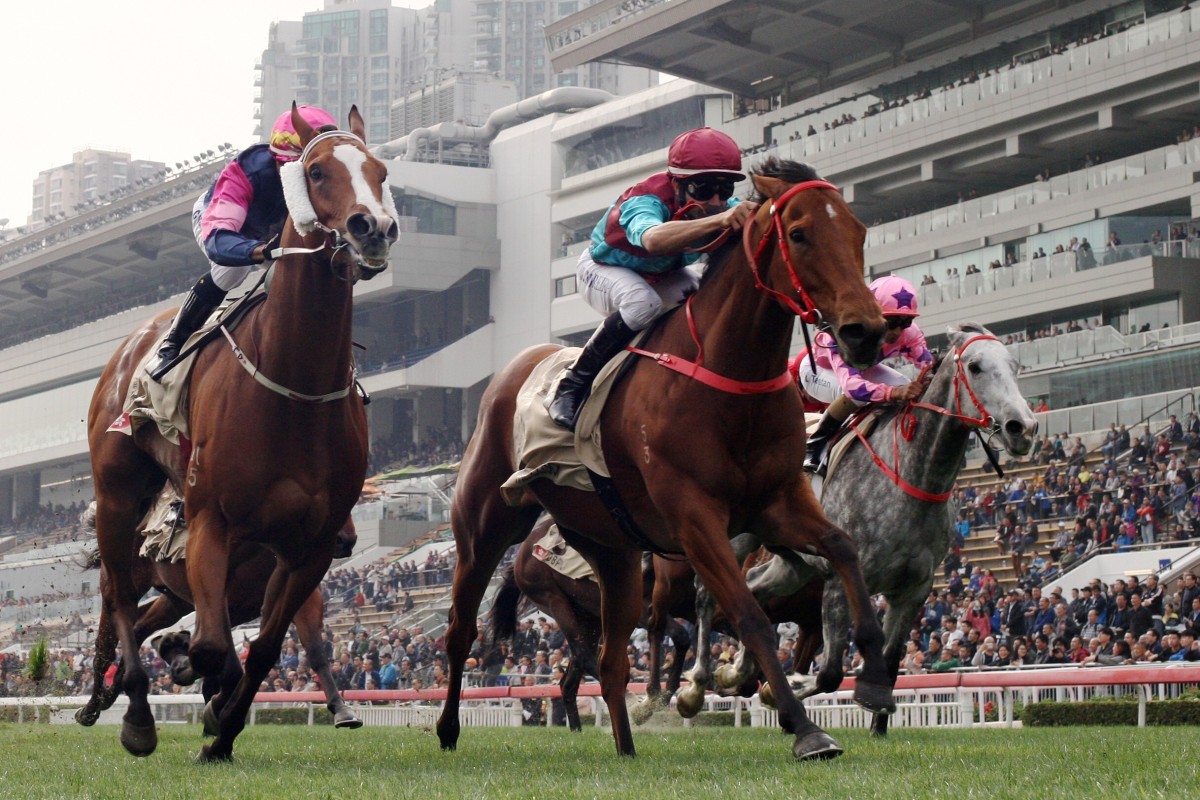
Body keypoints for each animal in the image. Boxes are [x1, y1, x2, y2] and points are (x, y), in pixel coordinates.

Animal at [90, 106, 398, 762]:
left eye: (380, 171)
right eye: (316, 170)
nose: (373, 228)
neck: (294, 386)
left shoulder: (308, 549)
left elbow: (266, 652)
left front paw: (223, 732)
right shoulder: (212, 521)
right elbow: (212, 648)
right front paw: (200, 698)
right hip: (117, 494)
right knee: (120, 601)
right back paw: (134, 713)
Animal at [439, 158, 892, 762]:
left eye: (858, 231)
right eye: (799, 234)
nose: (866, 332)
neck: (728, 376)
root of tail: (513, 368)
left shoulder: (775, 502)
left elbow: (843, 547)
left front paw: (875, 676)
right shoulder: (693, 517)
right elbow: (748, 614)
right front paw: (804, 727)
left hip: (611, 553)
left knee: (609, 661)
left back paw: (627, 746)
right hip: (486, 526)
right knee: (462, 629)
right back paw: (447, 728)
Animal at [681, 321, 1036, 734]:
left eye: (1015, 365)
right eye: (976, 367)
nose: (1023, 428)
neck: (911, 475)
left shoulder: (913, 589)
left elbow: (892, 658)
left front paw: (876, 716)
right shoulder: (840, 578)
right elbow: (831, 672)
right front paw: (781, 691)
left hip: (794, 565)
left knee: (755, 588)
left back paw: (738, 669)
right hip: (736, 537)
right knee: (706, 593)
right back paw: (696, 685)